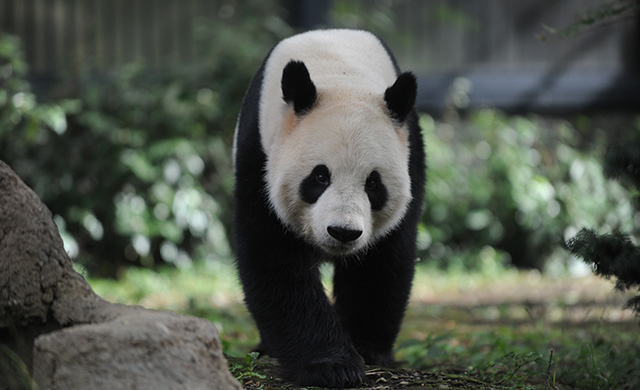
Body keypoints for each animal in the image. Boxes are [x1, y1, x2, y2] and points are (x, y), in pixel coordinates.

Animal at [234, 29, 424, 386]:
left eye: (373, 183)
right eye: (320, 176)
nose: (343, 232)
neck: (338, 73)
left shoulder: (410, 153)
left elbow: (380, 264)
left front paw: (367, 349)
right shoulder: (260, 154)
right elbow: (275, 262)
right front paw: (332, 366)